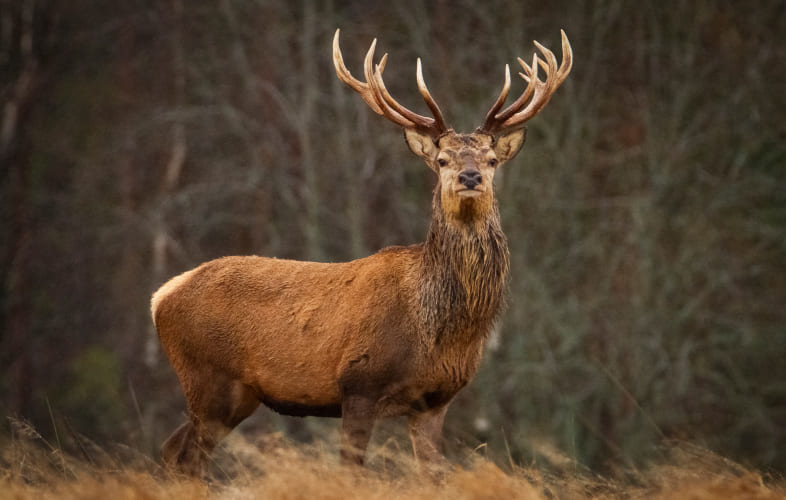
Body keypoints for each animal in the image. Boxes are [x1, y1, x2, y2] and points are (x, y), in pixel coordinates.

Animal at [151, 28, 572, 477]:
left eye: (492, 159)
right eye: (442, 159)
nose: (470, 176)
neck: (438, 330)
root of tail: (162, 295)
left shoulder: (435, 400)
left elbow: (434, 475)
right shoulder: (358, 383)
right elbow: (352, 470)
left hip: (236, 395)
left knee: (173, 450)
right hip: (206, 378)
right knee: (187, 457)